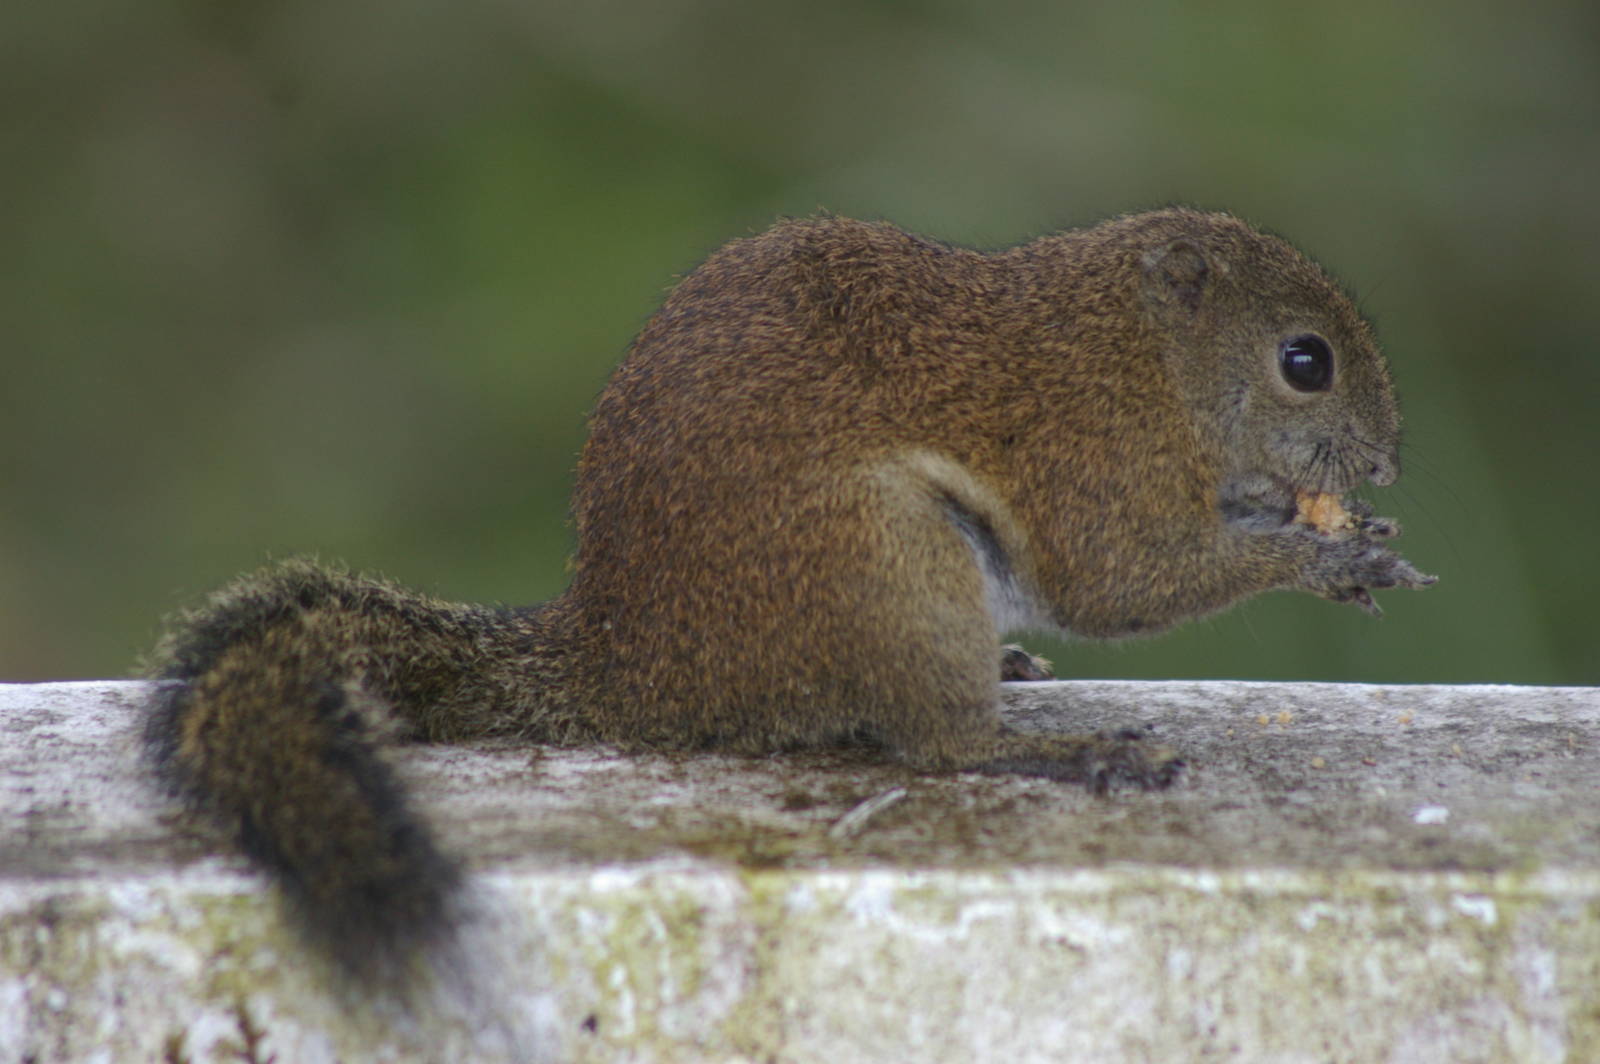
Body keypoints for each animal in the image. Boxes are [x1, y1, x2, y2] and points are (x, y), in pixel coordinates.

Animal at [143, 207, 1434, 981]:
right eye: (1304, 360)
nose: (1383, 465)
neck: (1142, 353)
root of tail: (624, 659)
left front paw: (1347, 534)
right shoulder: (1090, 452)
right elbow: (1115, 578)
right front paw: (1325, 556)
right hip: (885, 561)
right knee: (940, 747)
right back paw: (1064, 748)